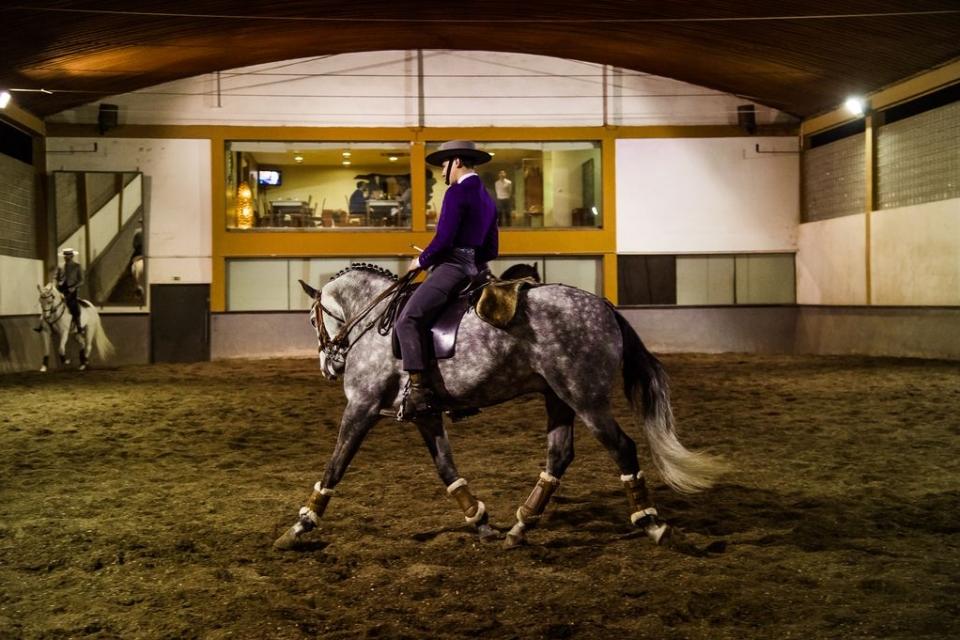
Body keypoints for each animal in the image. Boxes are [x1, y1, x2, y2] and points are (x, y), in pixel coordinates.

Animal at [274, 264, 724, 552]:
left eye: (313, 320)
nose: (329, 366)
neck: (375, 322)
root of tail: (605, 306)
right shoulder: (425, 414)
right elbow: (446, 469)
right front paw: (480, 520)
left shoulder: (362, 406)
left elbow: (336, 464)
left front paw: (300, 525)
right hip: (558, 397)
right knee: (559, 454)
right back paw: (520, 526)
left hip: (586, 398)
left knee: (623, 448)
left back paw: (652, 523)